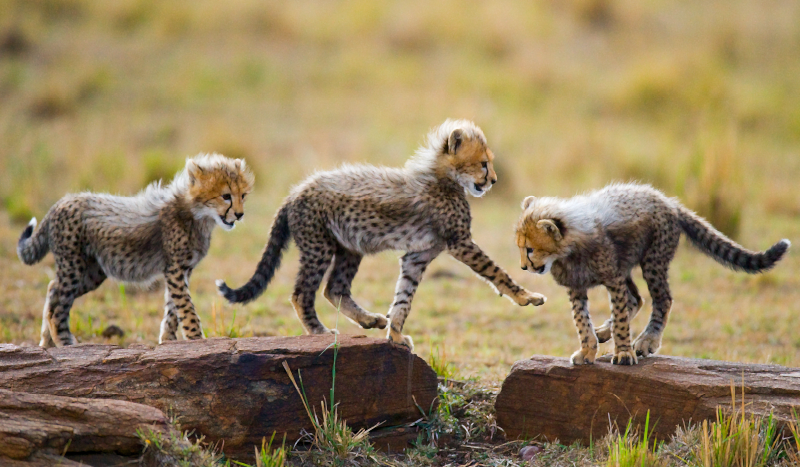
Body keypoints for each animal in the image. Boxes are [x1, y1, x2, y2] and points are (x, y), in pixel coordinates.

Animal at [17, 153, 254, 347]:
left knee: (53, 288)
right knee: (58, 303)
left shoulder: (182, 270)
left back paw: (47, 342)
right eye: (225, 196)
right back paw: (64, 342)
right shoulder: (175, 268)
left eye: (243, 195)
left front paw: (168, 340)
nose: (240, 214)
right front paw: (196, 339)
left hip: (92, 273)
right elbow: (186, 307)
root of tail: (61, 202)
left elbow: (172, 308)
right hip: (74, 266)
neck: (198, 215)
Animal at [217, 119, 546, 349]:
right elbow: (497, 271)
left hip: (350, 247)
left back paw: (368, 319)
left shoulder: (418, 255)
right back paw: (320, 332)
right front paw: (526, 296)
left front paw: (396, 334)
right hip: (318, 246)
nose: (494, 180)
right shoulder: (460, 242)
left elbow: (404, 297)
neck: (444, 178)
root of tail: (295, 192)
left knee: (334, 288)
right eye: (483, 163)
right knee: (302, 293)